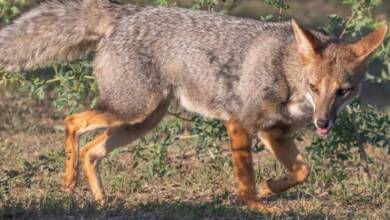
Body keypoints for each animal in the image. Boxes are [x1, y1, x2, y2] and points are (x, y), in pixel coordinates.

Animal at [0, 0, 386, 213]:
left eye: (343, 91)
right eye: (314, 87)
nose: (323, 123)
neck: (283, 68)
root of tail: (128, 11)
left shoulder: (274, 133)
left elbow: (302, 172)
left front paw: (268, 189)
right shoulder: (239, 123)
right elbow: (245, 179)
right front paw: (257, 206)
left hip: (141, 121)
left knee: (91, 151)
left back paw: (101, 201)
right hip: (132, 111)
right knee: (72, 121)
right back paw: (68, 182)